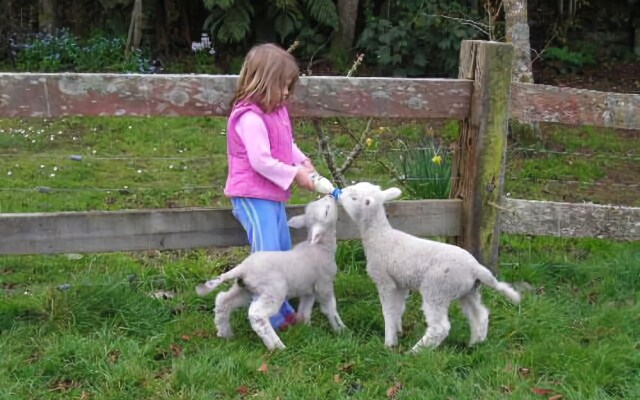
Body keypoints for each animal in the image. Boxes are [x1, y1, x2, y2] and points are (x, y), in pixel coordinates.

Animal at [194, 196, 344, 350]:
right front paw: (340, 329)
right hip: (273, 291)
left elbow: (305, 309)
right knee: (256, 315)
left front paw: (306, 328)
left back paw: (225, 333)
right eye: (326, 211)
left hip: (244, 289)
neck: (320, 247)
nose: (330, 196)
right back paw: (276, 345)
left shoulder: (307, 288)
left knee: (223, 301)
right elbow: (330, 307)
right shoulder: (324, 284)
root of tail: (243, 267)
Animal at [340, 181, 520, 354]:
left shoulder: (385, 280)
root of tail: (476, 268)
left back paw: (415, 352)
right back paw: (475, 344)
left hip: (437, 289)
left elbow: (389, 312)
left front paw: (389, 343)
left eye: (354, 197)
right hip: (468, 291)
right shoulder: (400, 283)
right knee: (480, 315)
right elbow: (398, 309)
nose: (338, 193)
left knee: (440, 327)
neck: (379, 236)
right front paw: (398, 332)